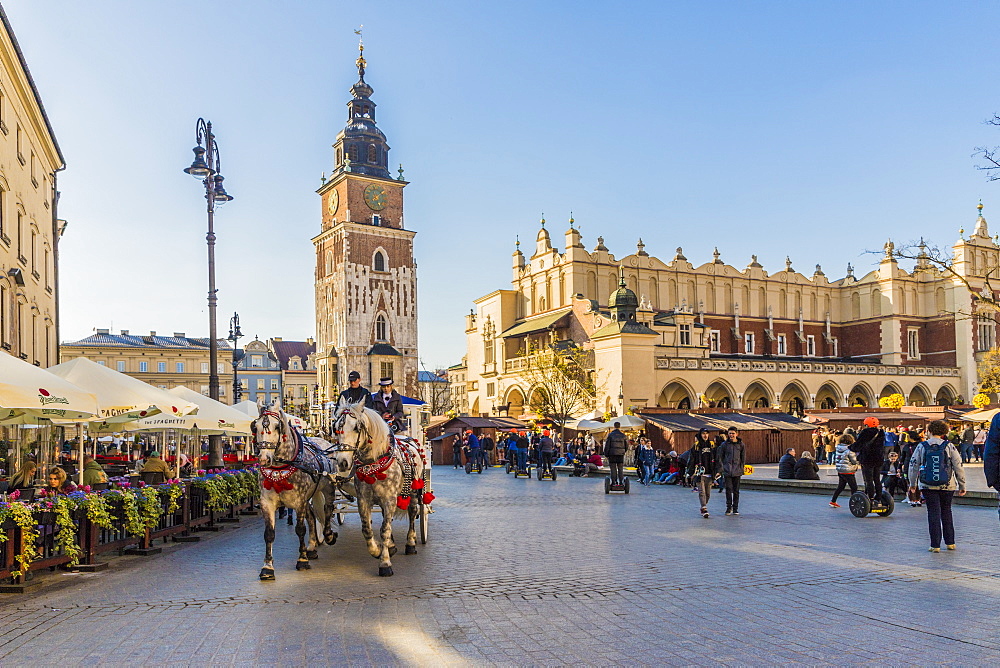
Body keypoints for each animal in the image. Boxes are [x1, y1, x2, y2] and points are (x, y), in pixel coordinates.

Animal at [252, 396, 338, 580]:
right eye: (255, 427)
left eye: (277, 426)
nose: (264, 459)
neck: (280, 468)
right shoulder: (267, 503)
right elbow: (269, 534)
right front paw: (267, 567)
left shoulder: (299, 502)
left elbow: (300, 529)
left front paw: (302, 560)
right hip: (309, 496)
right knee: (312, 517)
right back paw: (312, 547)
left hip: (327, 488)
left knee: (328, 510)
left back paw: (328, 535)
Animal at [332, 400, 430, 576]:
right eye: (335, 427)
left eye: (356, 427)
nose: (342, 462)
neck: (373, 463)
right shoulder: (363, 500)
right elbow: (367, 528)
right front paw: (377, 550)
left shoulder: (389, 499)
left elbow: (384, 529)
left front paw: (385, 563)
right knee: (387, 518)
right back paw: (391, 546)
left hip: (414, 490)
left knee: (413, 513)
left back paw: (410, 544)